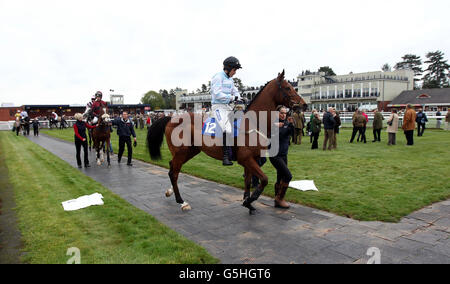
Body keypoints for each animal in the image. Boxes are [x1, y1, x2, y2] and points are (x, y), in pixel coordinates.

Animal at [146, 70, 308, 213]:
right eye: (287, 88)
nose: (304, 105)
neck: (252, 123)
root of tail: (170, 118)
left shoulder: (252, 160)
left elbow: (248, 182)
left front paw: (248, 203)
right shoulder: (246, 159)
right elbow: (264, 179)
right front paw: (249, 201)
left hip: (190, 151)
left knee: (172, 168)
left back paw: (170, 192)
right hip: (181, 152)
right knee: (174, 172)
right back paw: (182, 201)